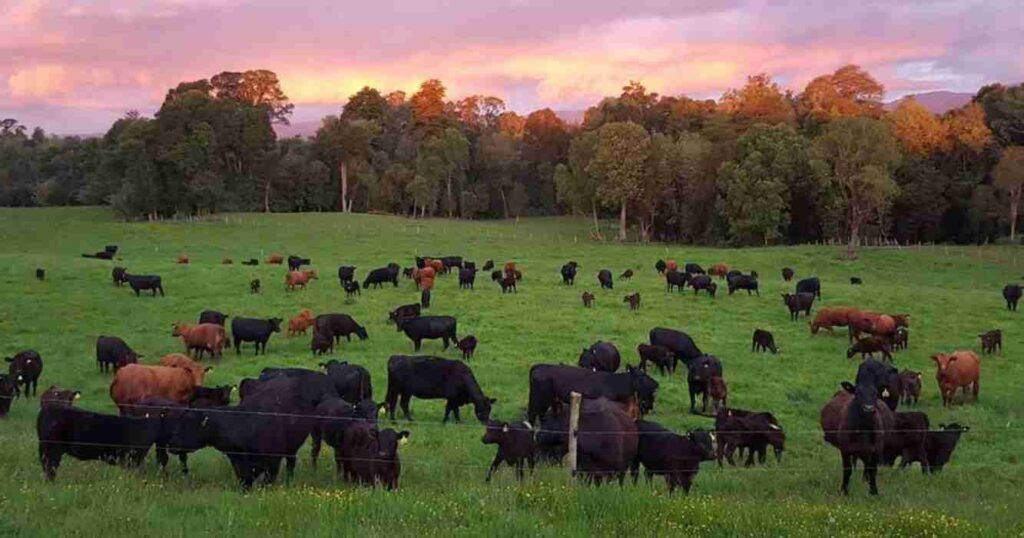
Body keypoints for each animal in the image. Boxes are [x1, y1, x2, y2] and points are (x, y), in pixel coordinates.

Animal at [815, 358, 897, 493]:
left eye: (876, 394)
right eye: (858, 393)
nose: (868, 408)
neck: (863, 427)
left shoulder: (876, 449)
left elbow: (873, 470)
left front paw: (873, 491)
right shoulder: (845, 449)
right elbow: (847, 470)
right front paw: (844, 490)